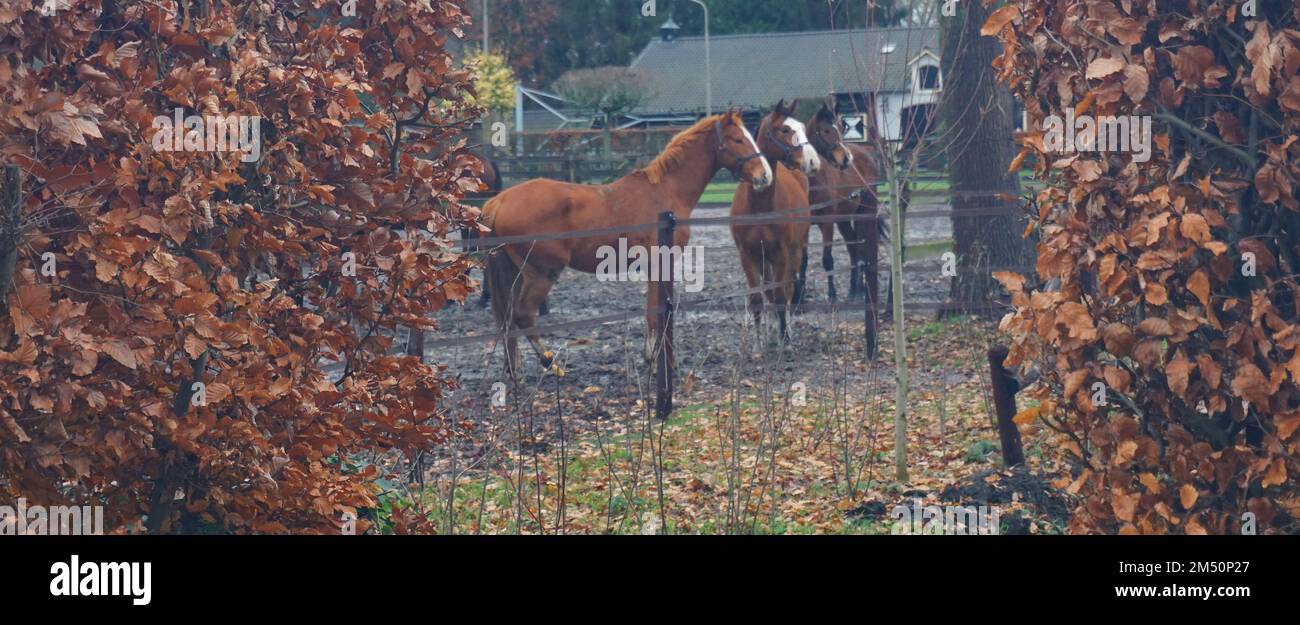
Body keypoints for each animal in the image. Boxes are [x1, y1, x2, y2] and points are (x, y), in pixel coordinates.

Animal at [484, 110, 772, 376]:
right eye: (737, 139)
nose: (765, 176)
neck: (666, 191)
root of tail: (500, 200)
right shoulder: (660, 264)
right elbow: (656, 313)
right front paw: (658, 362)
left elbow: (651, 311)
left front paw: (651, 357)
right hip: (542, 273)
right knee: (523, 314)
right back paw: (549, 362)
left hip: (516, 273)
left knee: (508, 317)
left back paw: (514, 370)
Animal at [730, 100, 821, 345]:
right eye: (785, 129)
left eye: (802, 127)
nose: (813, 161)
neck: (758, 206)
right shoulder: (748, 255)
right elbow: (757, 299)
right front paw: (759, 343)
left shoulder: (782, 253)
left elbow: (781, 295)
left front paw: (785, 338)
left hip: (794, 252)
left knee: (787, 290)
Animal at [803, 101, 883, 309]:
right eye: (825, 130)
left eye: (840, 128)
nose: (846, 158)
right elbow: (802, 260)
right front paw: (799, 298)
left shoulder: (827, 223)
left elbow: (827, 259)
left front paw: (832, 296)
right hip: (844, 220)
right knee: (853, 248)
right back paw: (854, 289)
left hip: (864, 214)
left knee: (862, 247)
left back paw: (861, 289)